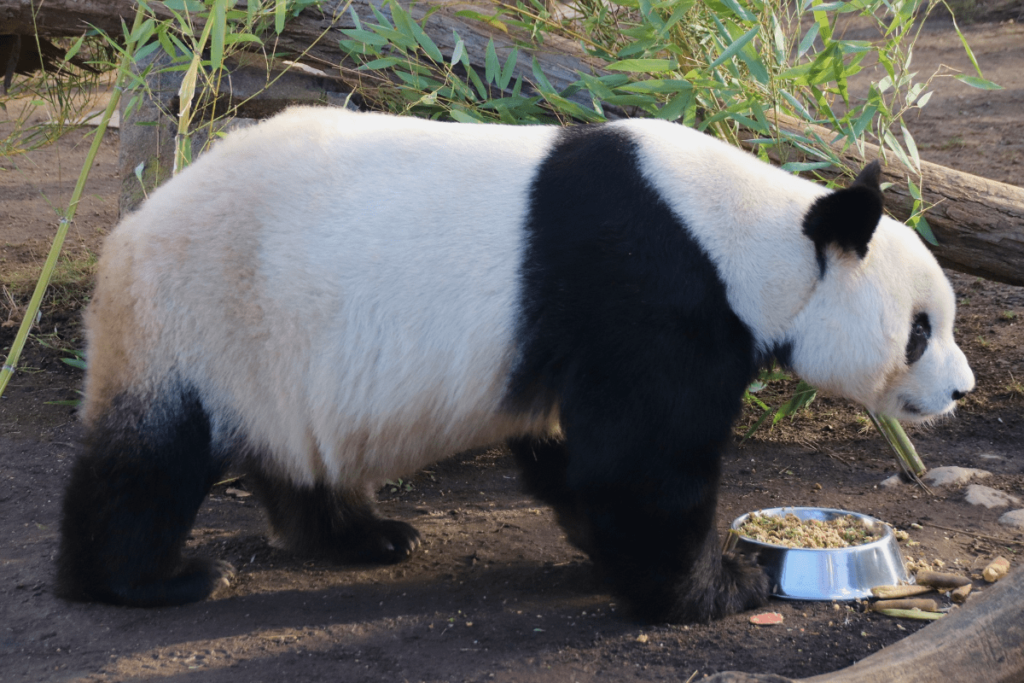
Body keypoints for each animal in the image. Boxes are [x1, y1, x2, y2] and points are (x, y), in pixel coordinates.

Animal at [56, 105, 974, 618]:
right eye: (920, 330)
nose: (960, 389)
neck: (756, 235)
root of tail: (129, 231)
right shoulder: (650, 288)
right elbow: (642, 461)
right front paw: (719, 587)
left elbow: (573, 453)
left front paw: (612, 556)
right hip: (202, 314)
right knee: (149, 459)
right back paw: (145, 580)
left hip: (277, 355)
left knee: (300, 454)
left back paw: (369, 536)